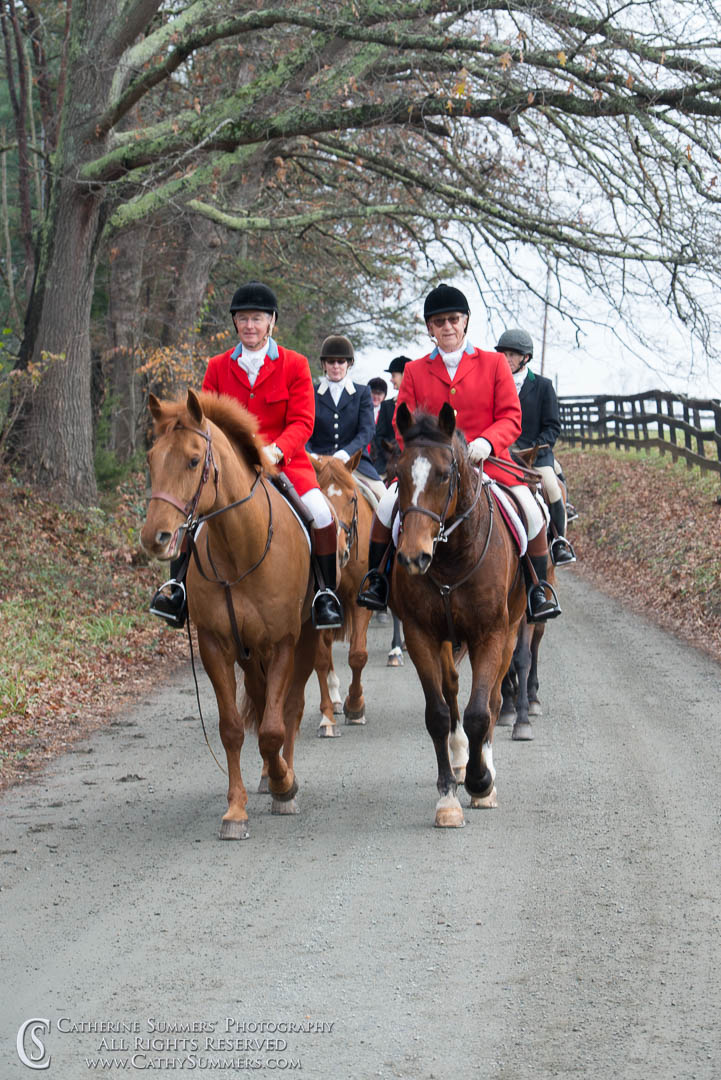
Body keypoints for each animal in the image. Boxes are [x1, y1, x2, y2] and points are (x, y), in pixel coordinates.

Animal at [140, 393, 317, 838]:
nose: (155, 537)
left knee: (290, 708)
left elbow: (273, 727)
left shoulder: (284, 641)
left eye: (192, 460)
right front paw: (236, 810)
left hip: (306, 640)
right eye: (151, 458)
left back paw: (284, 775)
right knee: (260, 699)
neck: (241, 546)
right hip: (248, 652)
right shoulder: (214, 645)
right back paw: (268, 776)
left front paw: (285, 786)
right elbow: (233, 728)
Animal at [395, 403, 524, 825]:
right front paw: (448, 796)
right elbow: (437, 713)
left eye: (444, 474)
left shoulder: (491, 635)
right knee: (451, 689)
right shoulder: (420, 634)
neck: (451, 558)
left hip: (512, 631)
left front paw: (481, 782)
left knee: (495, 699)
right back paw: (460, 757)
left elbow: (480, 712)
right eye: (398, 471)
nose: (413, 556)